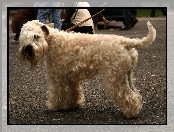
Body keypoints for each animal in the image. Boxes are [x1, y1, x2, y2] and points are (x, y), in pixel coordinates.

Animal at [18, 19, 156, 118]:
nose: (28, 48)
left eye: (36, 36)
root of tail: (125, 41)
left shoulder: (57, 77)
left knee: (127, 96)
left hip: (115, 78)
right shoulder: (71, 77)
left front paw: (54, 106)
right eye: (22, 38)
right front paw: (73, 105)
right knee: (135, 94)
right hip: (127, 75)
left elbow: (57, 93)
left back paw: (130, 113)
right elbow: (74, 92)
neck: (53, 42)